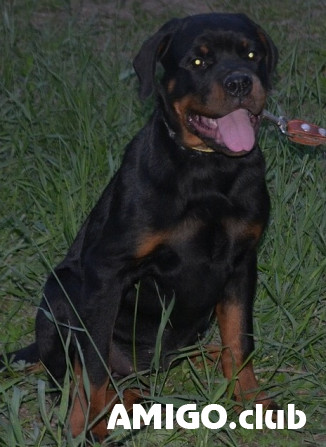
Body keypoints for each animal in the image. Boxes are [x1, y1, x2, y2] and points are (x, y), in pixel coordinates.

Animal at [2, 12, 278, 442]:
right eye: (198, 61)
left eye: (252, 55)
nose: (239, 82)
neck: (209, 170)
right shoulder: (107, 271)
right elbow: (93, 367)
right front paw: (84, 429)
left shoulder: (242, 262)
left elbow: (239, 338)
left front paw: (250, 400)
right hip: (62, 289)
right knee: (75, 374)